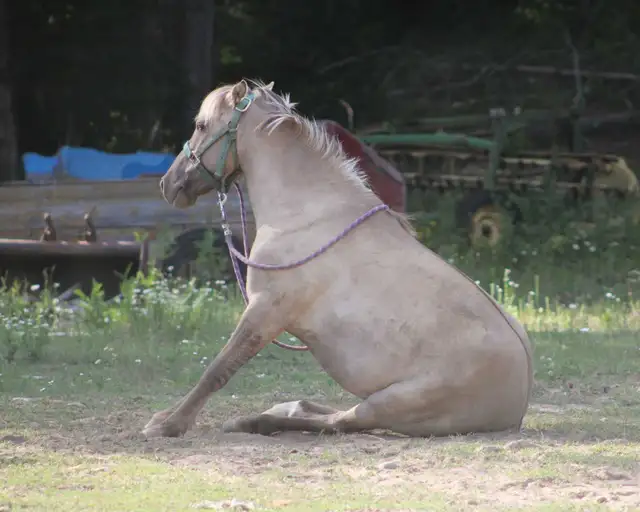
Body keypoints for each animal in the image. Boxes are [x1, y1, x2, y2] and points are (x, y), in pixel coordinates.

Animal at [146, 79, 533, 438]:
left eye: (201, 125)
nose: (168, 184)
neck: (303, 212)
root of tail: (519, 407)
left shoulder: (265, 312)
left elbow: (218, 370)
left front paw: (168, 425)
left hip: (389, 404)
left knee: (340, 423)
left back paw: (253, 421)